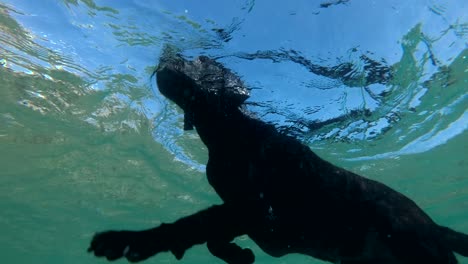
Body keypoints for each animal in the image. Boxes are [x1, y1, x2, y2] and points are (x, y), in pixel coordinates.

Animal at [88, 48, 468, 264]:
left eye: (202, 60)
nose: (170, 54)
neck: (230, 136)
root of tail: (435, 227)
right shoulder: (247, 215)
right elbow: (210, 235)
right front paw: (237, 255)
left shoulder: (258, 210)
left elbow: (194, 225)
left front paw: (129, 240)